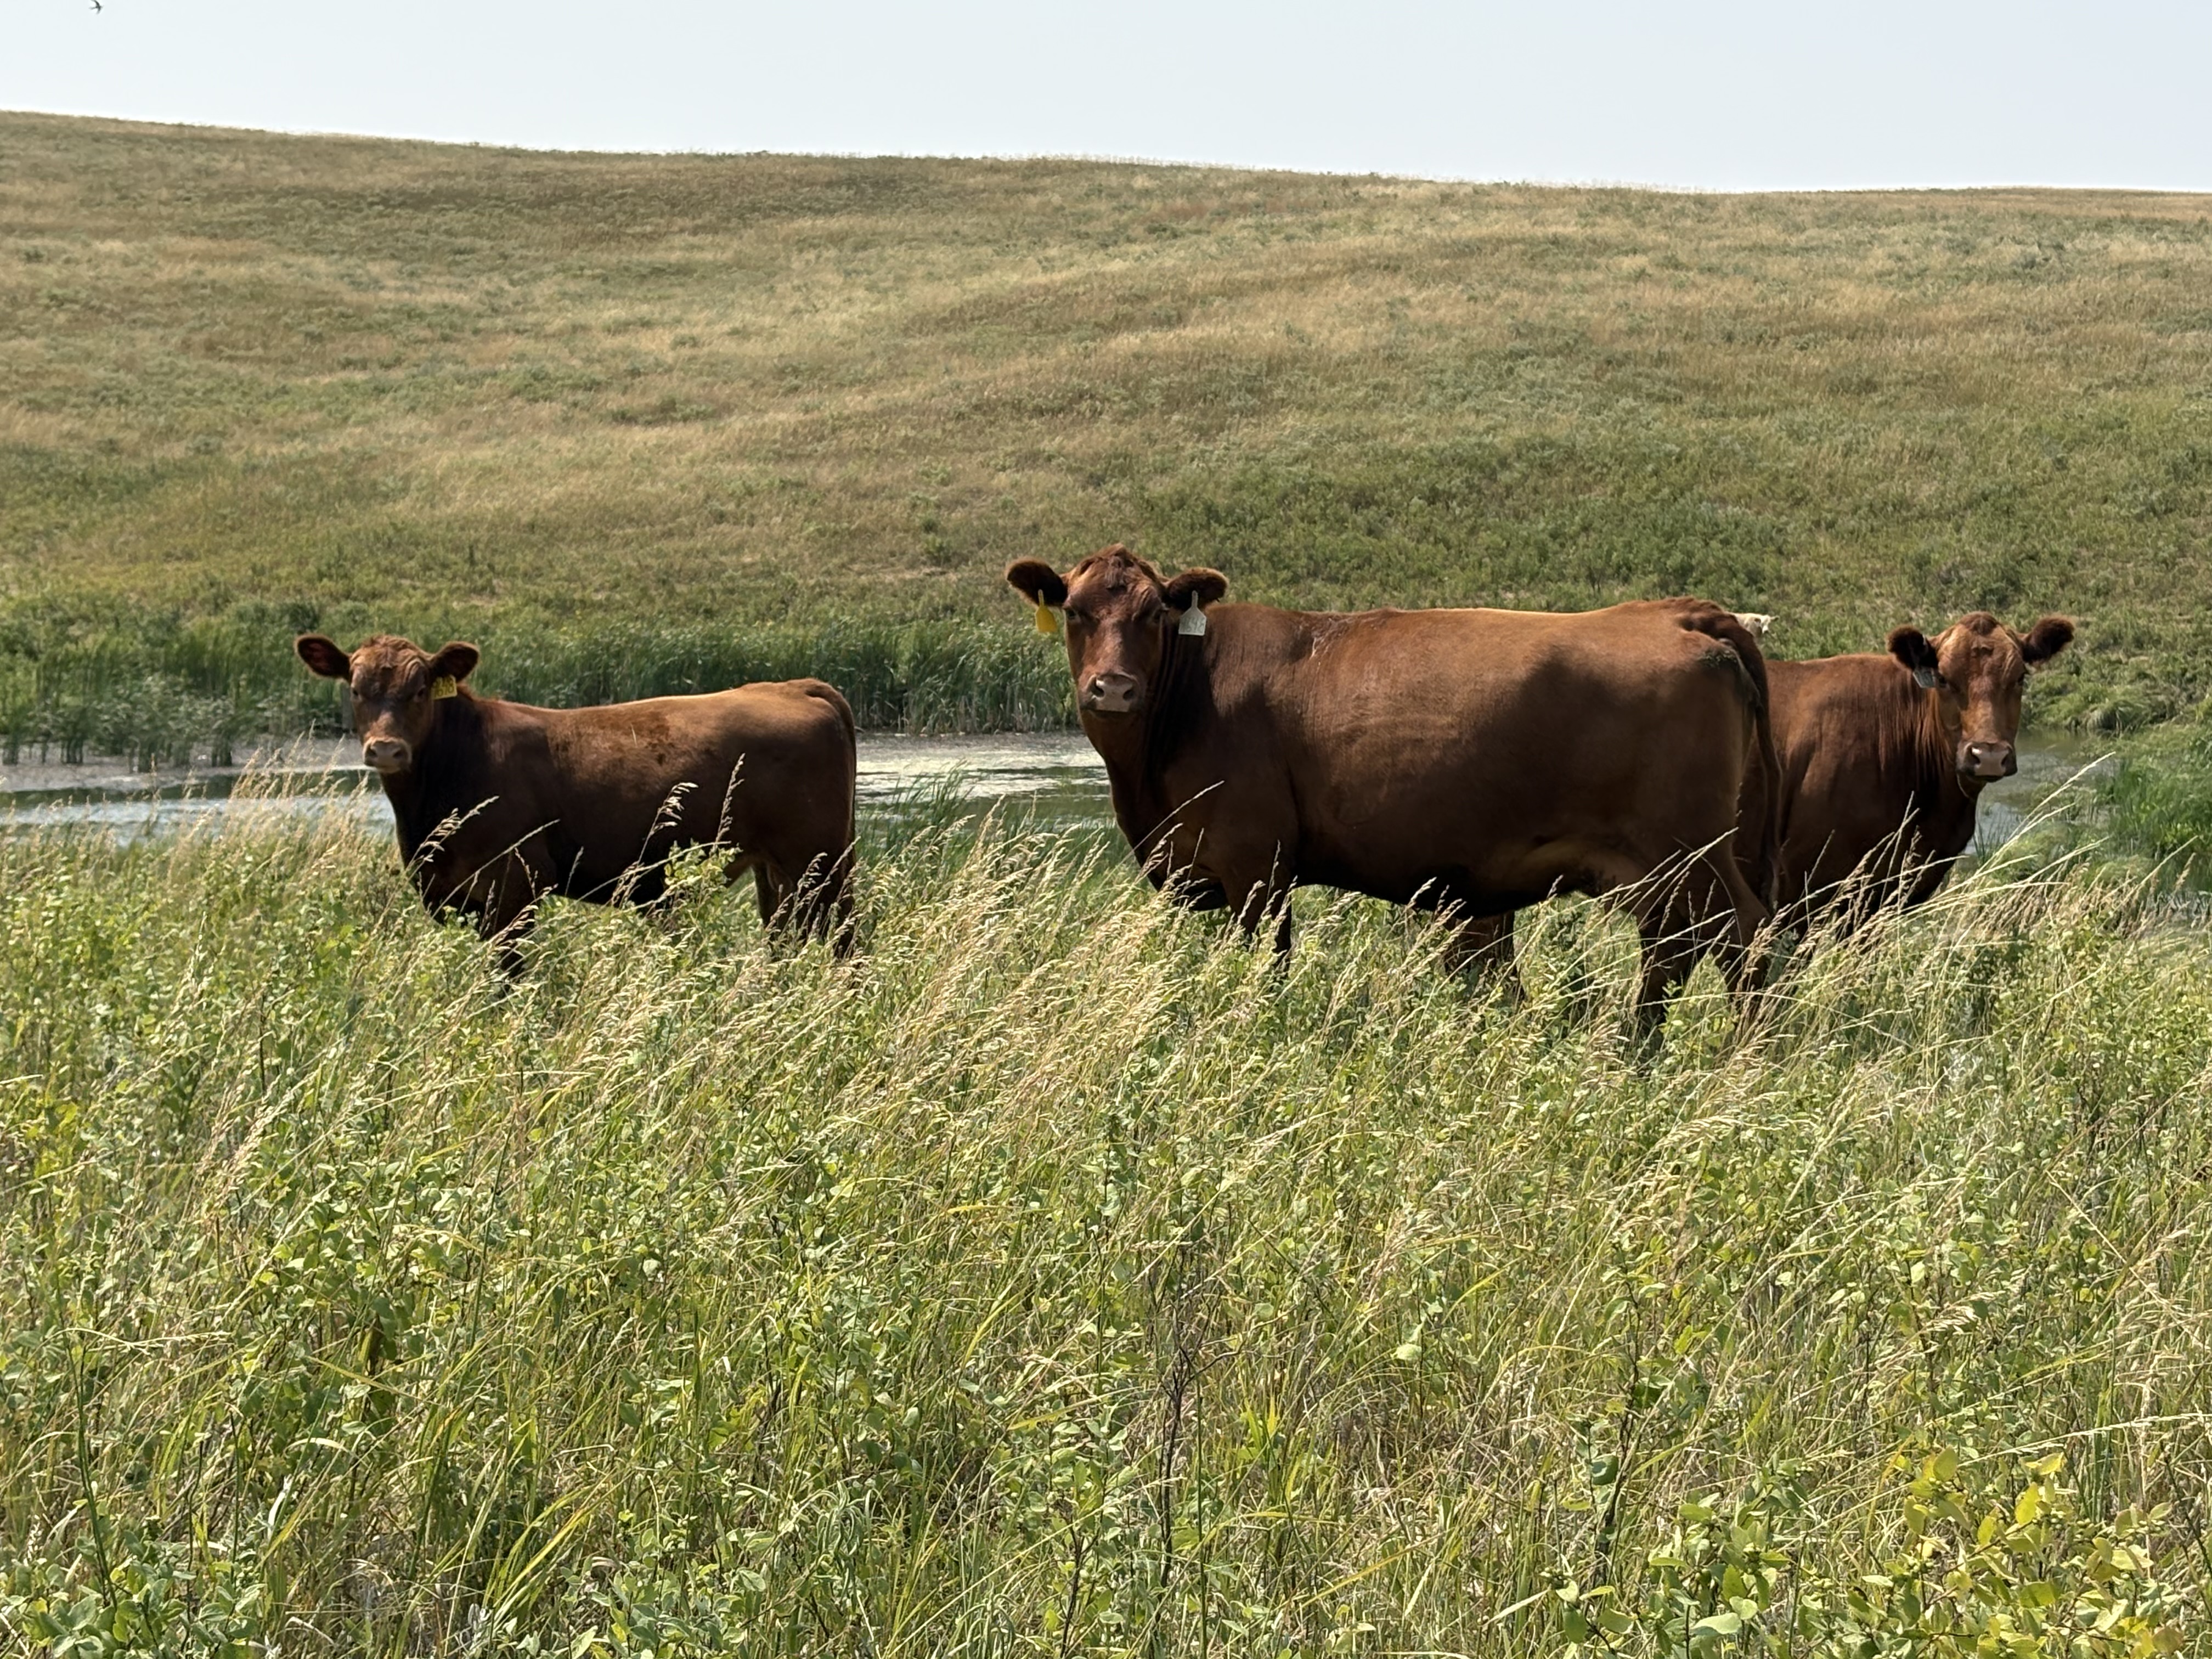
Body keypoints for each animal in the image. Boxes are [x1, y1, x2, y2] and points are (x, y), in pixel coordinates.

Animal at [295, 633, 856, 969]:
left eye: (419, 690)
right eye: (356, 689)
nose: (386, 749)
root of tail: (794, 686)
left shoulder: (515, 886)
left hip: (820, 860)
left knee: (844, 939)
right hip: (776, 869)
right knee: (784, 935)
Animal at [1005, 546, 1779, 1026]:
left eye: (1154, 613)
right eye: (1074, 610)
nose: (1113, 687)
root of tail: (1674, 612)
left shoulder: (1256, 866)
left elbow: (1266, 965)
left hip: (1688, 853)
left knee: (1739, 937)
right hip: (1665, 869)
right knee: (1674, 950)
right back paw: (1635, 1049)